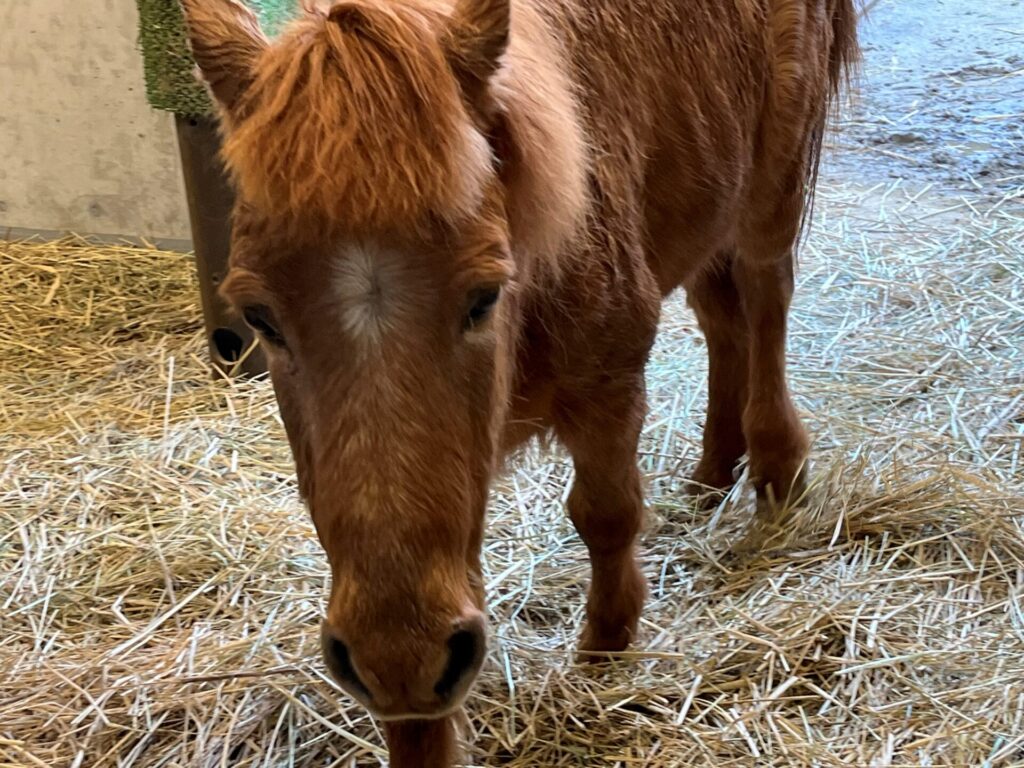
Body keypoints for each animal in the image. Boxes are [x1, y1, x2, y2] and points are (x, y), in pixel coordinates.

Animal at [179, 0, 857, 763]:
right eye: (260, 317)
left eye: (483, 297)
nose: (397, 653)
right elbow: (419, 705)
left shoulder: (610, 382)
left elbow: (606, 515)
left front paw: (605, 651)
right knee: (723, 319)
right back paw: (713, 472)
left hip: (771, 185)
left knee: (767, 297)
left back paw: (776, 471)